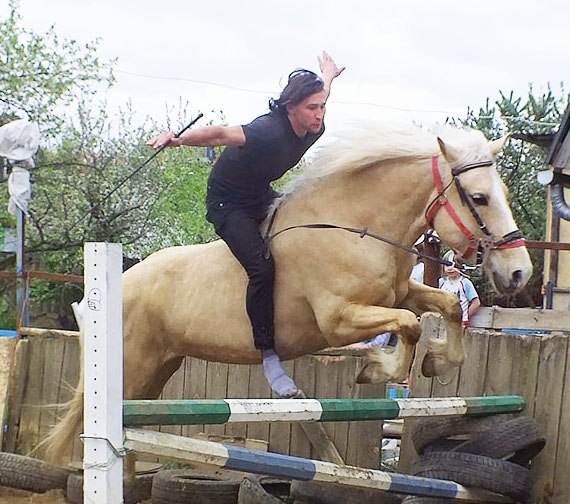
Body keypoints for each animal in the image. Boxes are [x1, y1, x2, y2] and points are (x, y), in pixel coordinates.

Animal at [44, 124, 532, 462]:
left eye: (504, 192)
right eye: (480, 198)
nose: (520, 273)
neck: (351, 227)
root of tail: (104, 291)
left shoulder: (398, 292)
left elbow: (444, 305)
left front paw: (439, 362)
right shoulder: (339, 320)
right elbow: (408, 326)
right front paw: (377, 367)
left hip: (158, 369)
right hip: (133, 367)